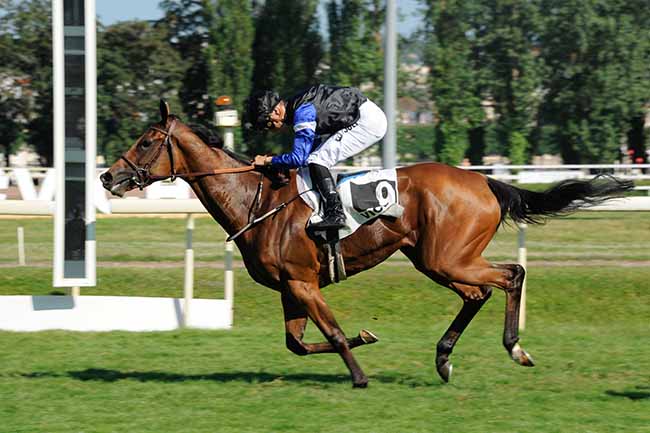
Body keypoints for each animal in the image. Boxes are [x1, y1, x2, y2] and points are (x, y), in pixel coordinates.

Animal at [98, 101, 632, 388]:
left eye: (147, 141)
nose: (108, 176)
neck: (255, 199)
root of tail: (485, 182)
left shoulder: (303, 282)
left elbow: (330, 334)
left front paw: (358, 374)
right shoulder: (291, 287)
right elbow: (297, 343)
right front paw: (366, 338)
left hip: (447, 256)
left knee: (510, 275)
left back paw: (514, 348)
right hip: (436, 260)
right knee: (478, 292)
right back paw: (444, 357)